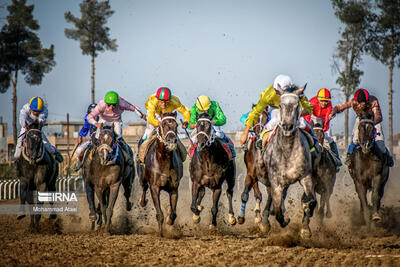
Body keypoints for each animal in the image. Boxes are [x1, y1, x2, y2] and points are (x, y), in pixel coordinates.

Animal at [260, 84, 318, 239]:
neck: (287, 150)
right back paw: (265, 222)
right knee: (272, 200)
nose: (287, 126)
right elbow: (278, 212)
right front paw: (284, 219)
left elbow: (311, 201)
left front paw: (305, 228)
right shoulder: (276, 182)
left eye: (297, 105)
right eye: (281, 105)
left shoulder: (306, 177)